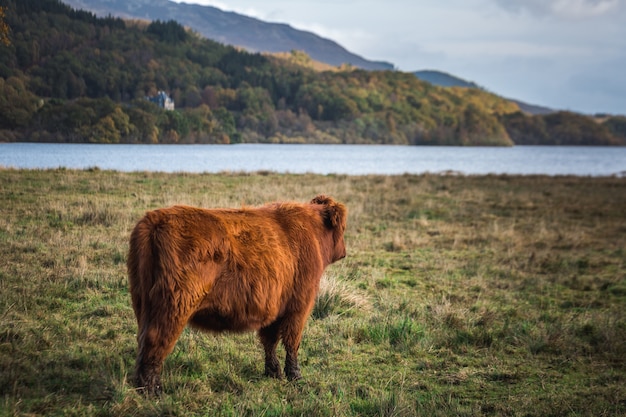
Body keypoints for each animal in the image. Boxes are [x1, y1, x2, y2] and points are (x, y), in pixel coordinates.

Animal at [127, 194, 346, 394]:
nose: (344, 251)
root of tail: (154, 220)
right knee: (156, 341)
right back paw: (152, 389)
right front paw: (295, 376)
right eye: (343, 229)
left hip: (143, 304)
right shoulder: (299, 307)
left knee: (143, 340)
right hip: (174, 306)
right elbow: (292, 342)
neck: (313, 232)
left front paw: (273, 372)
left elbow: (270, 341)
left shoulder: (275, 309)